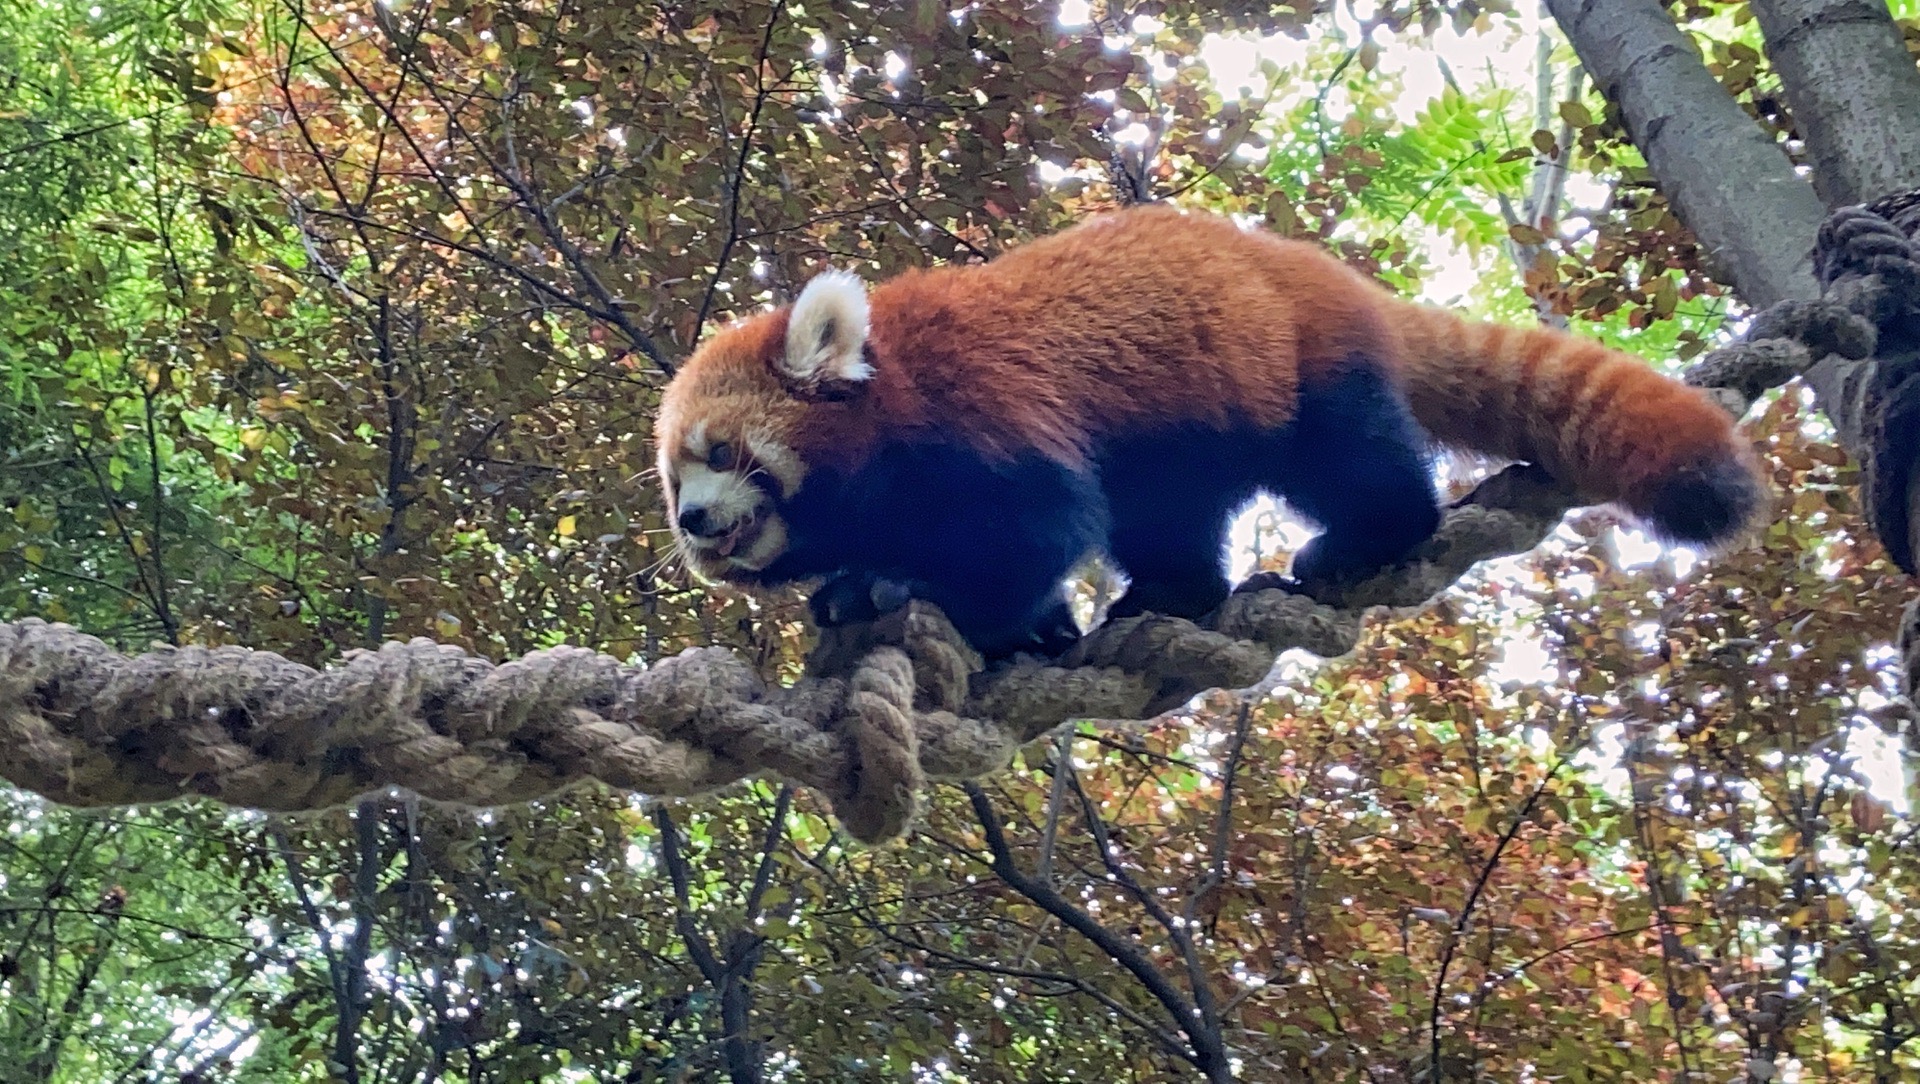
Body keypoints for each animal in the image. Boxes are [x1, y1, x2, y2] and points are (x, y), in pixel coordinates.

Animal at [660, 206, 1766, 656]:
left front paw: (923, 598)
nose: (697, 524)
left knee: (1352, 461)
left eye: (721, 454)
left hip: (1295, 368)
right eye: (673, 486)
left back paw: (1361, 539)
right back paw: (1174, 593)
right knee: (1169, 520)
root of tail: (1326, 272)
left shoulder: (979, 408)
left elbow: (1038, 528)